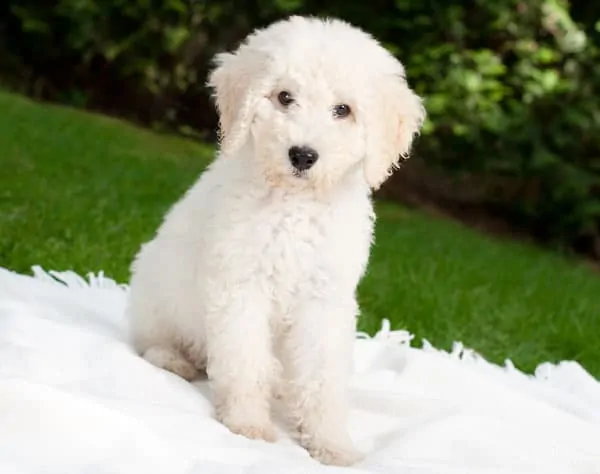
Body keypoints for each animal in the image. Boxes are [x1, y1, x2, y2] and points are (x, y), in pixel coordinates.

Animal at [129, 14, 424, 466]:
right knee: (152, 340)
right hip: (154, 290)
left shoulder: (323, 299)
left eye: (343, 110)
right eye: (285, 97)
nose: (302, 155)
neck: (294, 203)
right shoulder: (241, 286)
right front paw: (248, 423)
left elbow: (322, 377)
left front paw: (332, 444)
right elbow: (245, 361)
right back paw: (174, 359)